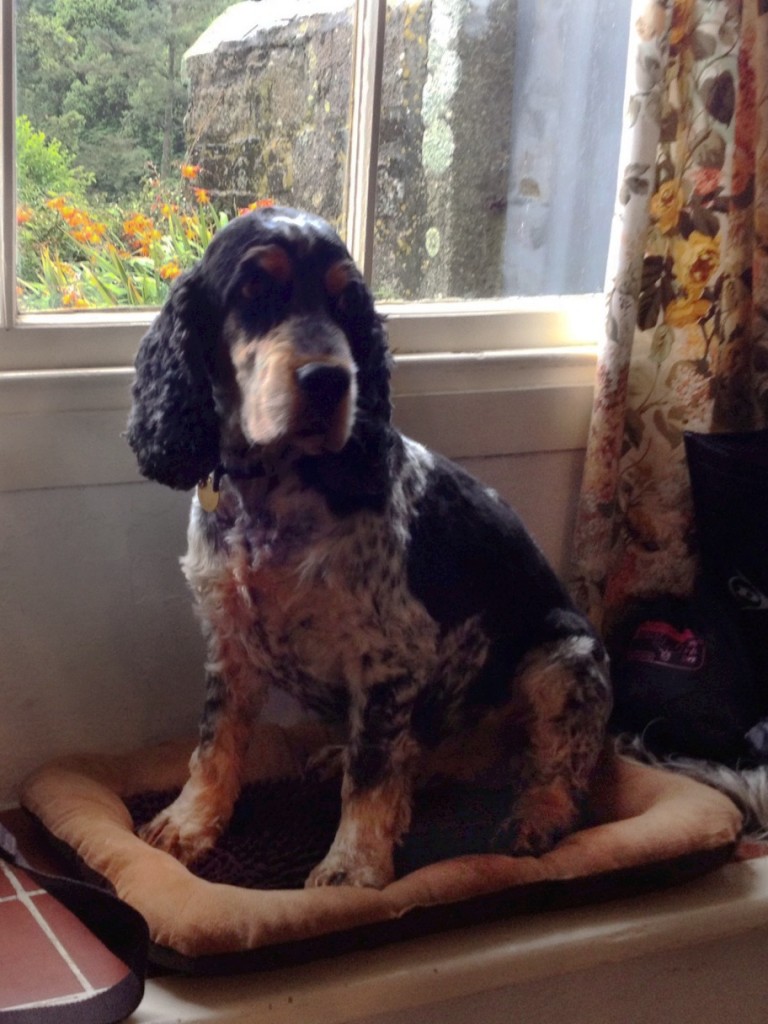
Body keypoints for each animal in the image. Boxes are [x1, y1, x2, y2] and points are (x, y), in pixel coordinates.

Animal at [128, 205, 614, 888]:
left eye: (347, 303)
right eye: (254, 287)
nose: (330, 380)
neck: (275, 490)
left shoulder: (390, 657)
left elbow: (373, 774)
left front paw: (351, 867)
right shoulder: (230, 641)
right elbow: (215, 742)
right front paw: (189, 822)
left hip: (562, 659)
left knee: (556, 770)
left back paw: (532, 820)